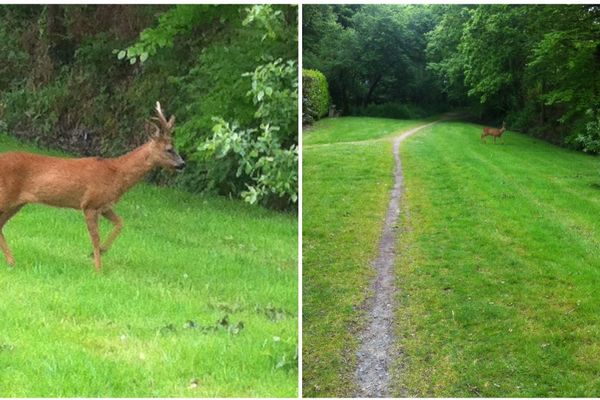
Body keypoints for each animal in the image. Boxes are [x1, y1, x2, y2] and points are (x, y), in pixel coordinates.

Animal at [0, 101, 185, 270]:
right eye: (169, 149)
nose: (183, 164)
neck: (116, 173)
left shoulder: (104, 205)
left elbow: (120, 222)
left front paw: (99, 252)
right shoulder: (90, 204)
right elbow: (95, 237)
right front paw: (98, 268)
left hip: (17, 203)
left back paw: (12, 262)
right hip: (6, 196)